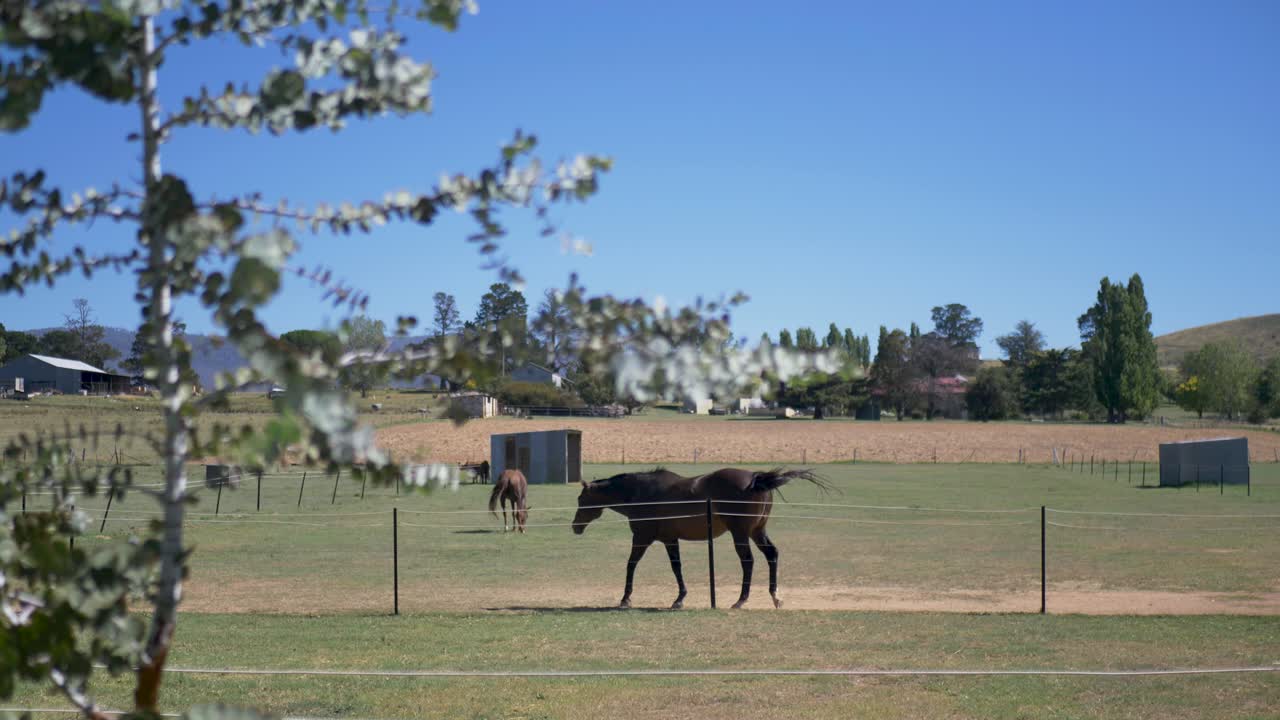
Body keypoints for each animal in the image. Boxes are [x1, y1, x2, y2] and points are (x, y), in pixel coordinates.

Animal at [572, 467, 826, 609]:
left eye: (581, 499)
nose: (575, 527)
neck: (642, 494)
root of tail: (755, 479)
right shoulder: (670, 540)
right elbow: (676, 567)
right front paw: (679, 598)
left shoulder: (642, 538)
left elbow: (631, 564)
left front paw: (626, 599)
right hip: (757, 532)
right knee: (771, 555)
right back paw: (775, 597)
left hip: (741, 534)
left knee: (748, 561)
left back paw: (741, 600)